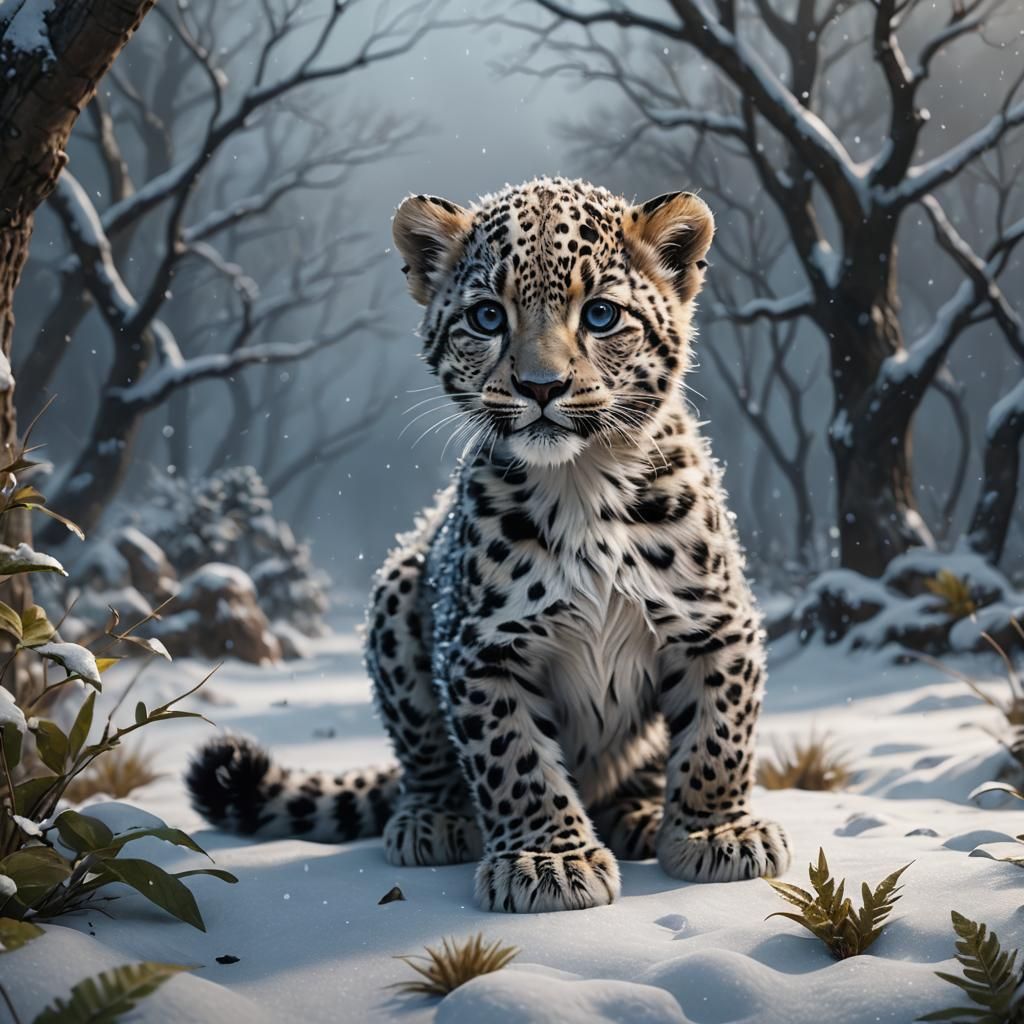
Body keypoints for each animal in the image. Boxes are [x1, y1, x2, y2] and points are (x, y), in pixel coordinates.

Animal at [186, 176, 790, 913]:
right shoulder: (482, 647)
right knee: (425, 758)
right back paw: (432, 822)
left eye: (600, 315)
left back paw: (642, 813)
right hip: (397, 596)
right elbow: (515, 759)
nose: (541, 387)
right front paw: (549, 860)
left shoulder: (714, 623)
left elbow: (717, 735)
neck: (583, 483)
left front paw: (715, 832)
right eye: (486, 317)